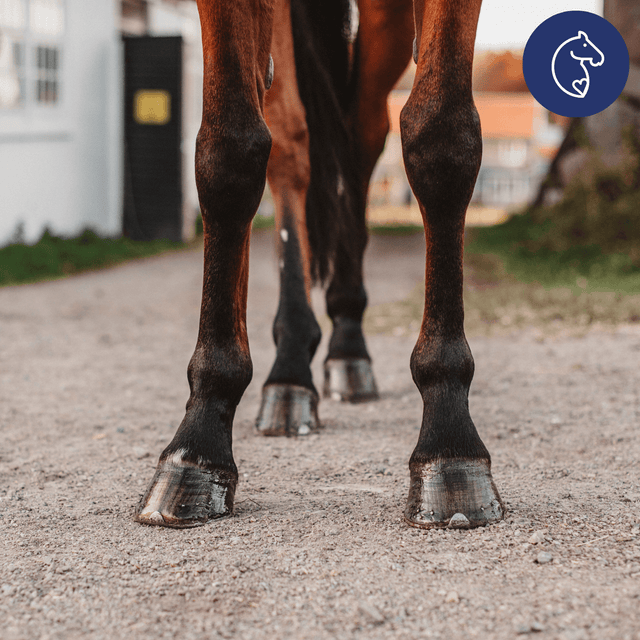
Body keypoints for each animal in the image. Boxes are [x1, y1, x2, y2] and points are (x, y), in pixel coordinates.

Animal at [135, 0, 505, 530]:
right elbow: (228, 150)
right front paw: (198, 443)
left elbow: (442, 136)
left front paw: (449, 442)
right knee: (292, 146)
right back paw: (290, 371)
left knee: (362, 134)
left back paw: (347, 344)